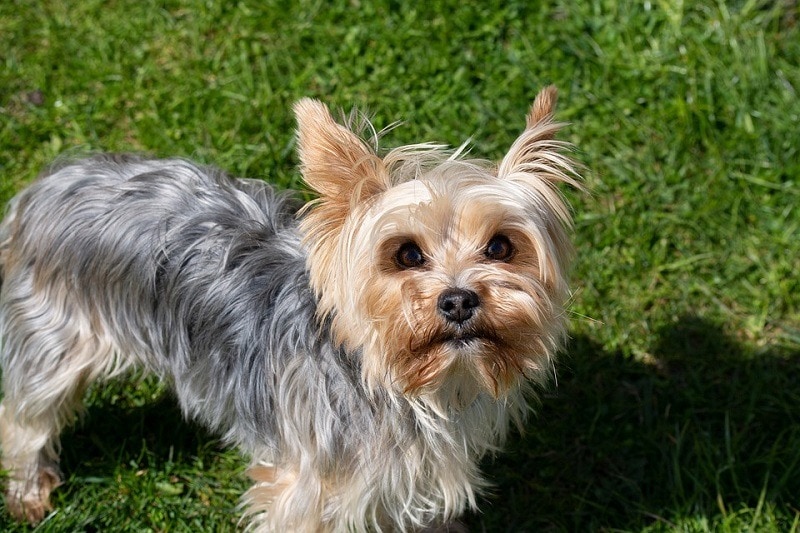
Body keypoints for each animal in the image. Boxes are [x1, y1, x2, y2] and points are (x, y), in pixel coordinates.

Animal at [0, 86, 576, 528]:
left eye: (501, 246)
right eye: (406, 254)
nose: (458, 300)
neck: (407, 388)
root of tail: (47, 184)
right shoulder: (308, 489)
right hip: (53, 338)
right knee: (26, 416)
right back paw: (29, 494)